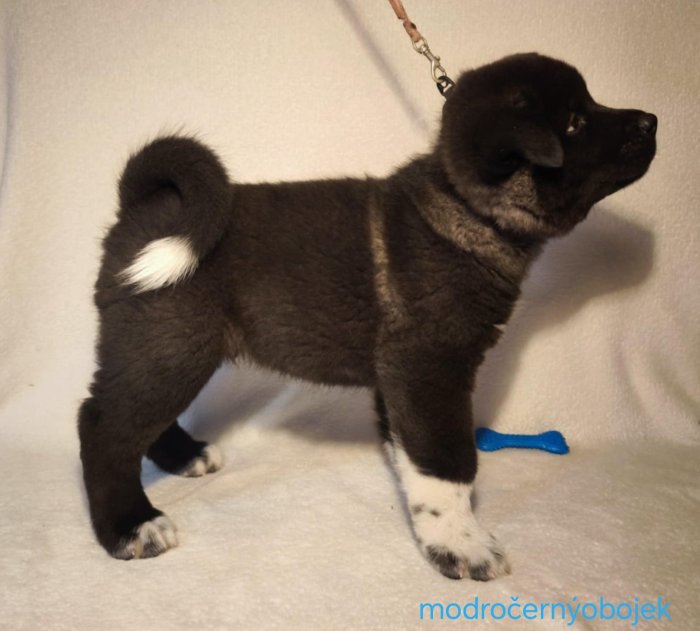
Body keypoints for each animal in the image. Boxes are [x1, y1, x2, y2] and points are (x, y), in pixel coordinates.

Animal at [78, 53, 656, 580]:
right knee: (103, 427)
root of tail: (139, 206)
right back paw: (131, 527)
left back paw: (185, 458)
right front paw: (460, 543)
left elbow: (411, 452)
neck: (465, 212)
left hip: (169, 349)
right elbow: (447, 461)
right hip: (170, 346)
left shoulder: (401, 378)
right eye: (575, 123)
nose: (651, 120)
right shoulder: (430, 370)